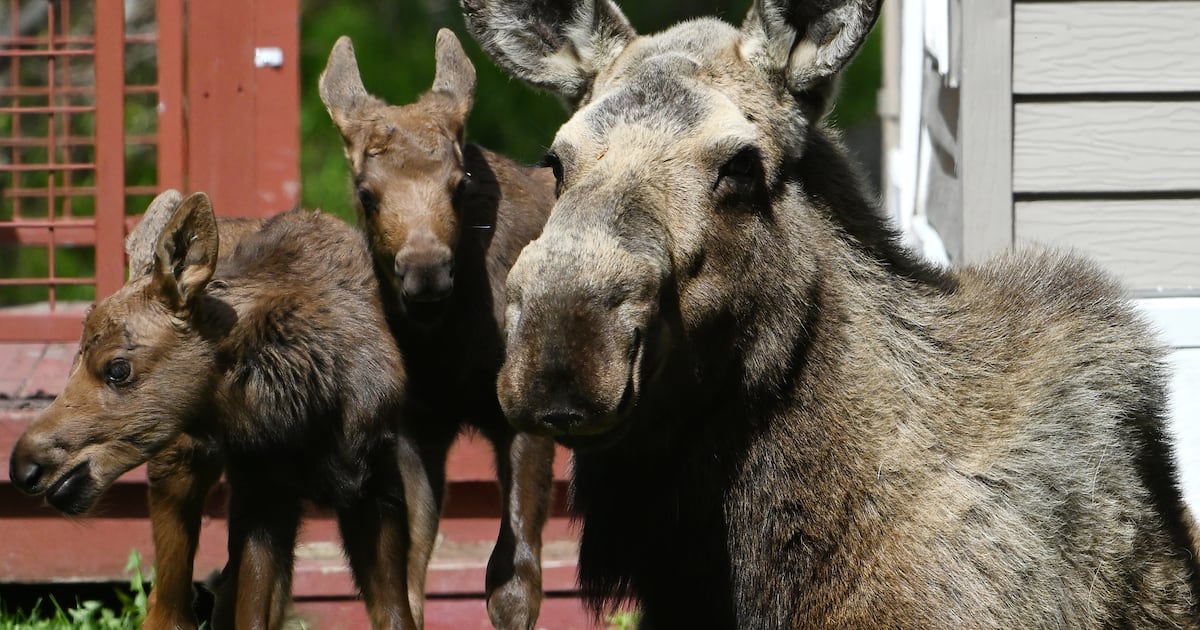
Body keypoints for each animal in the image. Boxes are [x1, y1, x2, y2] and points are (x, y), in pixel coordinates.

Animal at [9, 192, 421, 629]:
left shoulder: (376, 485)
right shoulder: (260, 494)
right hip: (181, 461)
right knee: (168, 604)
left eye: (118, 368)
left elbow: (398, 614)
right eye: (74, 359)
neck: (309, 411)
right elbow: (248, 613)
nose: (23, 466)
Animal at [318, 29, 557, 629]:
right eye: (366, 192)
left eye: (458, 185)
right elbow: (405, 581)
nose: (425, 272)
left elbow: (512, 582)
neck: (448, 347)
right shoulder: (416, 428)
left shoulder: (528, 414)